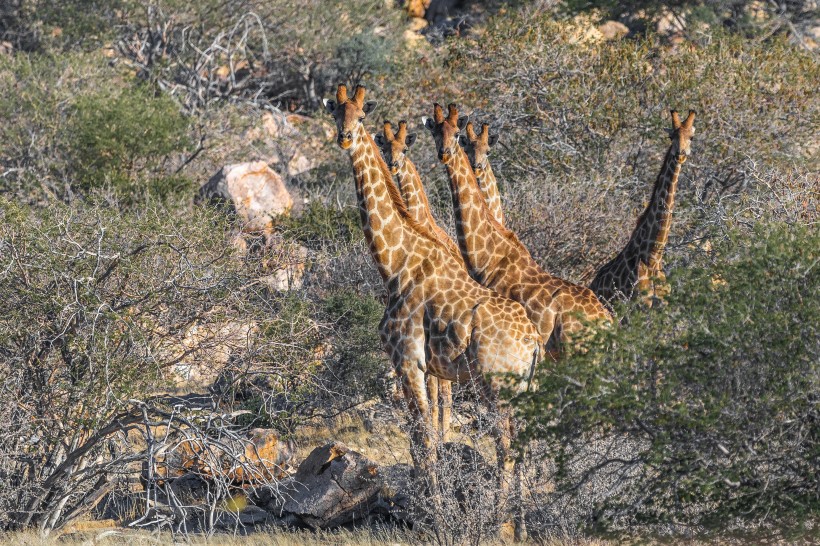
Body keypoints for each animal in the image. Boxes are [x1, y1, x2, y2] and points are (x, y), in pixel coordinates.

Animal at [588, 109, 700, 306]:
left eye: (691, 137)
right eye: (671, 136)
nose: (680, 154)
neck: (652, 257)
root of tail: (592, 285)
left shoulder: (662, 305)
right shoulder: (638, 304)